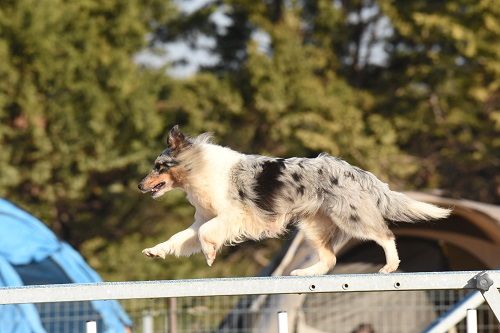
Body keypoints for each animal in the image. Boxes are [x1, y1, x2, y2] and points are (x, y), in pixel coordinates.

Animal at [139, 125, 452, 274]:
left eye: (158, 166)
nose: (140, 186)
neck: (199, 169)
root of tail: (359, 172)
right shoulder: (203, 219)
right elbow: (179, 238)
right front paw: (154, 251)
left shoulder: (234, 216)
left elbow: (206, 234)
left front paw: (209, 254)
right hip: (314, 226)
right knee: (330, 259)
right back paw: (304, 274)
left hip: (350, 216)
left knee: (385, 235)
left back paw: (390, 266)